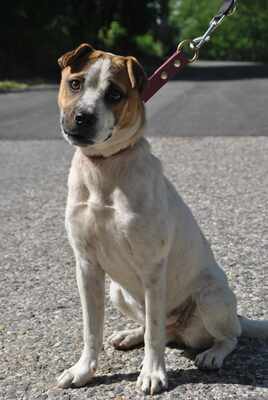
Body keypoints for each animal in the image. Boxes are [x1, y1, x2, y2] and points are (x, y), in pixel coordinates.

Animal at [55, 43, 266, 394]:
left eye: (115, 94)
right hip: (118, 291)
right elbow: (91, 330)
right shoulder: (86, 266)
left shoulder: (152, 267)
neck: (105, 168)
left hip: (210, 298)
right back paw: (130, 336)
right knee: (153, 328)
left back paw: (212, 355)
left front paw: (153, 374)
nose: (82, 117)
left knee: (227, 336)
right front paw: (83, 371)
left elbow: (154, 335)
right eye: (75, 83)